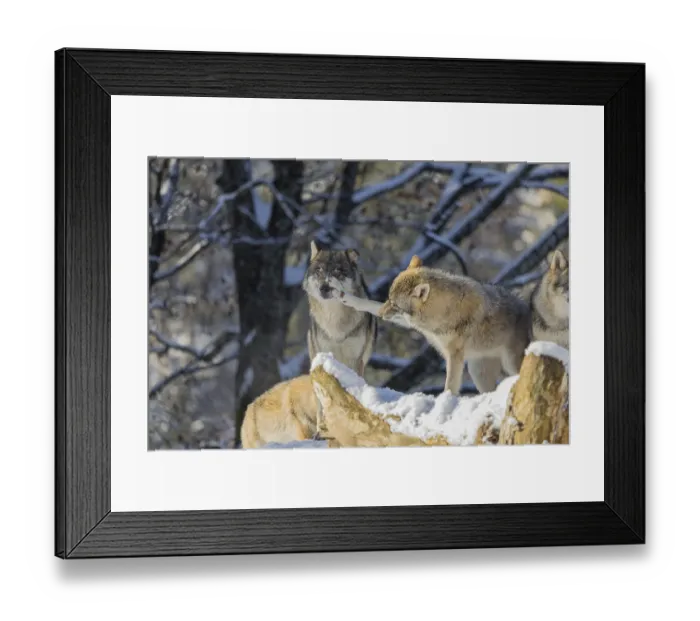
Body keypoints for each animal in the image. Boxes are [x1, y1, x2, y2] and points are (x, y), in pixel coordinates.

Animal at [302, 241, 378, 377]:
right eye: (319, 270)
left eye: (337, 271)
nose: (324, 288)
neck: (334, 317)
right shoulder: (326, 351)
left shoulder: (356, 359)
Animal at [331, 255, 531, 395]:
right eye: (388, 299)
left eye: (395, 305)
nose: (381, 314)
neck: (445, 310)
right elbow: (367, 303)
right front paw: (344, 296)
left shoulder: (454, 356)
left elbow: (450, 385)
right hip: (477, 372)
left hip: (509, 364)